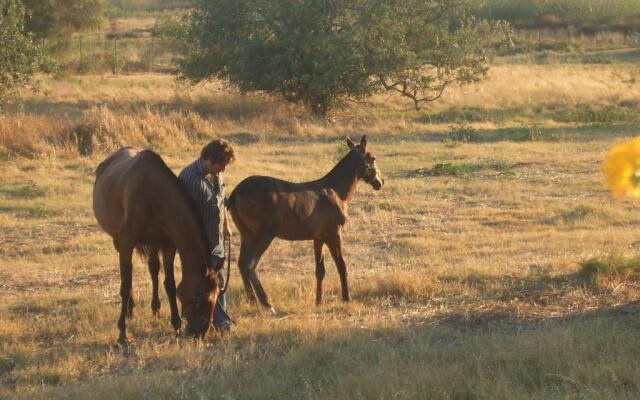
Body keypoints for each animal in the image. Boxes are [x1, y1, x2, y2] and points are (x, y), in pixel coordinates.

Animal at [93, 147, 220, 344]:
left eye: (216, 297)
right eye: (200, 299)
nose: (199, 333)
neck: (153, 193)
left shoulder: (168, 244)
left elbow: (170, 284)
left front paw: (176, 324)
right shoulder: (127, 241)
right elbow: (125, 285)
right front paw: (122, 333)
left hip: (153, 243)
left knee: (153, 270)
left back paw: (155, 308)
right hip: (120, 242)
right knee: (130, 278)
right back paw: (130, 309)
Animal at [228, 136, 382, 310]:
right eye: (372, 158)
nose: (380, 182)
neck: (335, 192)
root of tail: (235, 193)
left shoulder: (319, 238)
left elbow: (320, 270)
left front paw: (319, 301)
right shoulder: (334, 235)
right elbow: (341, 266)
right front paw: (346, 298)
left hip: (246, 235)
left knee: (242, 263)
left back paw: (252, 300)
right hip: (263, 235)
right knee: (249, 264)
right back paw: (266, 303)